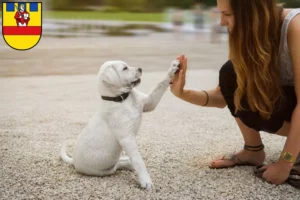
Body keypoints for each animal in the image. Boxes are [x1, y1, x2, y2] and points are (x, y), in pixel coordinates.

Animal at [59, 59, 179, 189]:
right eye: (124, 68)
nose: (140, 69)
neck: (121, 99)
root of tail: (73, 161)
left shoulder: (149, 103)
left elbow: (160, 84)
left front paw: (172, 69)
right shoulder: (127, 139)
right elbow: (138, 160)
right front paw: (146, 181)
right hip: (106, 170)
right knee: (119, 165)